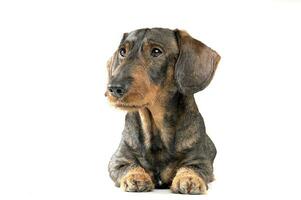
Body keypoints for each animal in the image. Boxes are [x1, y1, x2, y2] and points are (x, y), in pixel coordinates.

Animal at [104, 27, 219, 194]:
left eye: (156, 51)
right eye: (122, 51)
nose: (113, 88)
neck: (155, 127)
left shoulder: (201, 162)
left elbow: (192, 168)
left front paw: (189, 178)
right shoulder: (117, 161)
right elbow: (129, 166)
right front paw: (135, 176)